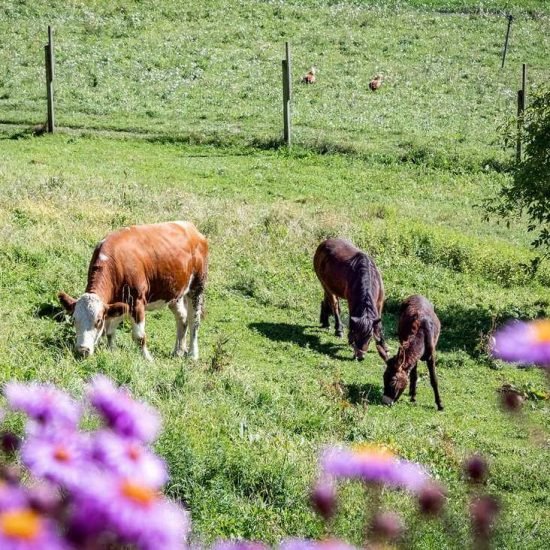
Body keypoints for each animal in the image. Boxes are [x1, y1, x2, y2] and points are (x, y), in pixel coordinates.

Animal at [58, 222, 209, 360]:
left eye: (98, 320)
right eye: (74, 319)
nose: (82, 350)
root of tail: (190, 227)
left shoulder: (136, 302)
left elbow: (139, 337)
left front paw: (148, 359)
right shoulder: (117, 304)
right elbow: (109, 331)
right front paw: (112, 352)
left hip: (197, 286)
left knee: (194, 320)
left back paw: (192, 355)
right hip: (175, 293)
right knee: (182, 318)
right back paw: (178, 351)